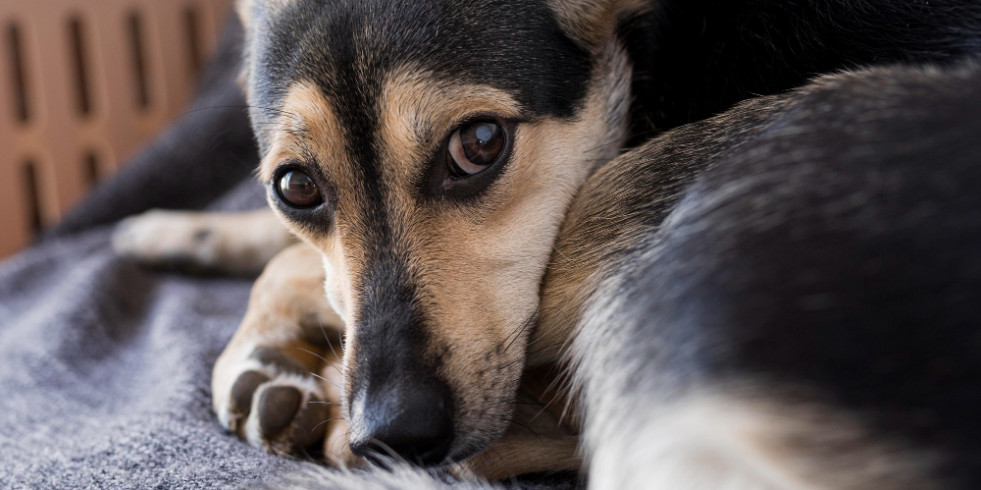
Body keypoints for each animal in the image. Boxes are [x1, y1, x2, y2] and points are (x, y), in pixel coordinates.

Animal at [111, 0, 980, 486]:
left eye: (480, 143)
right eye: (295, 187)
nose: (393, 432)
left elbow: (293, 263)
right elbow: (290, 249)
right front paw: (178, 229)